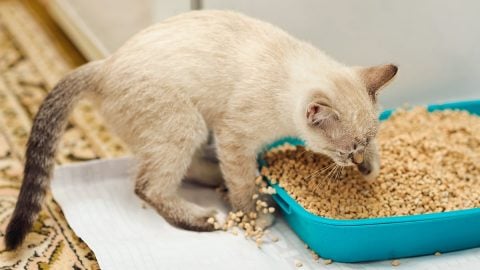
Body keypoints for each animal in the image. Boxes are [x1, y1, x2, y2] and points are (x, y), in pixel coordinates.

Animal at [4, 10, 398, 249]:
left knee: (179, 169)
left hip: (187, 128)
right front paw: (253, 214)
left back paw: (215, 181)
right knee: (147, 186)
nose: (358, 163)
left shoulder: (229, 138)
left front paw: (373, 168)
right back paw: (205, 216)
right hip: (186, 122)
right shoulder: (235, 138)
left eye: (366, 143)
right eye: (345, 150)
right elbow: (243, 182)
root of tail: (104, 64)